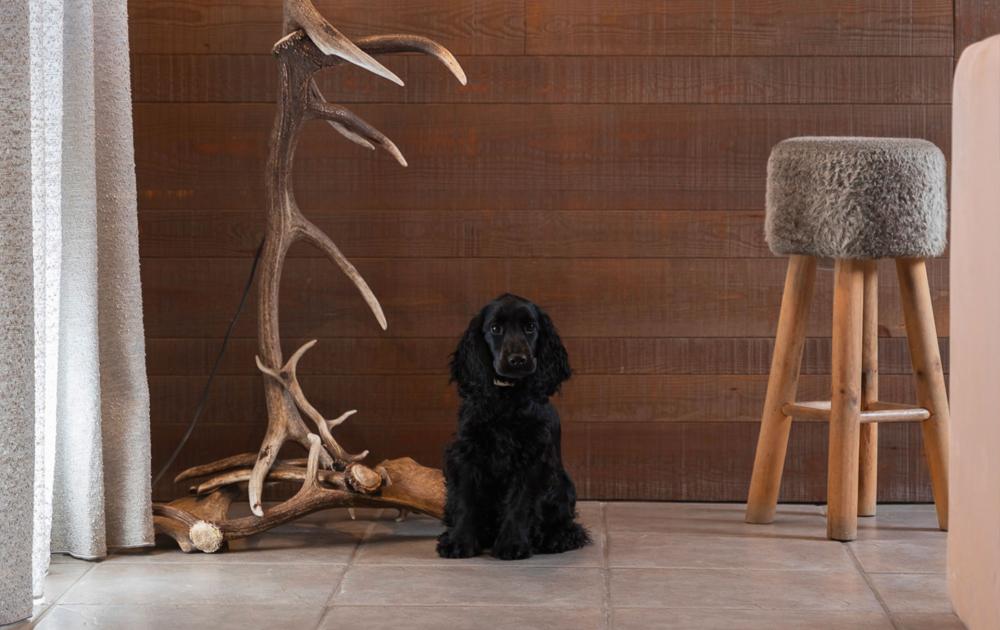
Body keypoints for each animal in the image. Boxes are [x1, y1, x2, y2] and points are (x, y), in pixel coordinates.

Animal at [436, 294, 588, 560]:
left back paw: (556, 538)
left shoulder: (532, 457)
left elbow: (520, 502)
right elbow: (465, 499)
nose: (518, 360)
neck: (506, 397)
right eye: (495, 328)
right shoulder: (466, 452)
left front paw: (512, 544)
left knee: (568, 525)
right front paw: (458, 541)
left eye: (531, 327)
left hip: (564, 486)